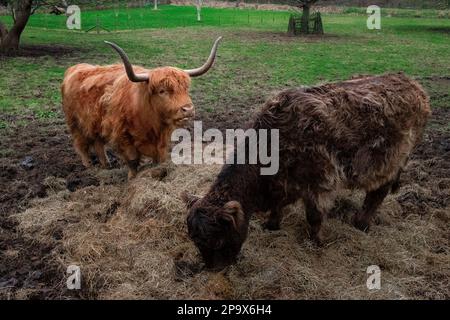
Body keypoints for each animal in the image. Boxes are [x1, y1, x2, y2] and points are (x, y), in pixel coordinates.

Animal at [184, 73, 432, 270]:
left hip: (392, 160)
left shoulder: (320, 181)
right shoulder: (282, 184)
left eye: (218, 241)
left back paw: (361, 223)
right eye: (195, 242)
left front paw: (315, 243)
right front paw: (271, 225)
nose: (215, 270)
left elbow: (314, 216)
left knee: (378, 192)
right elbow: (278, 207)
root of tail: (410, 82)